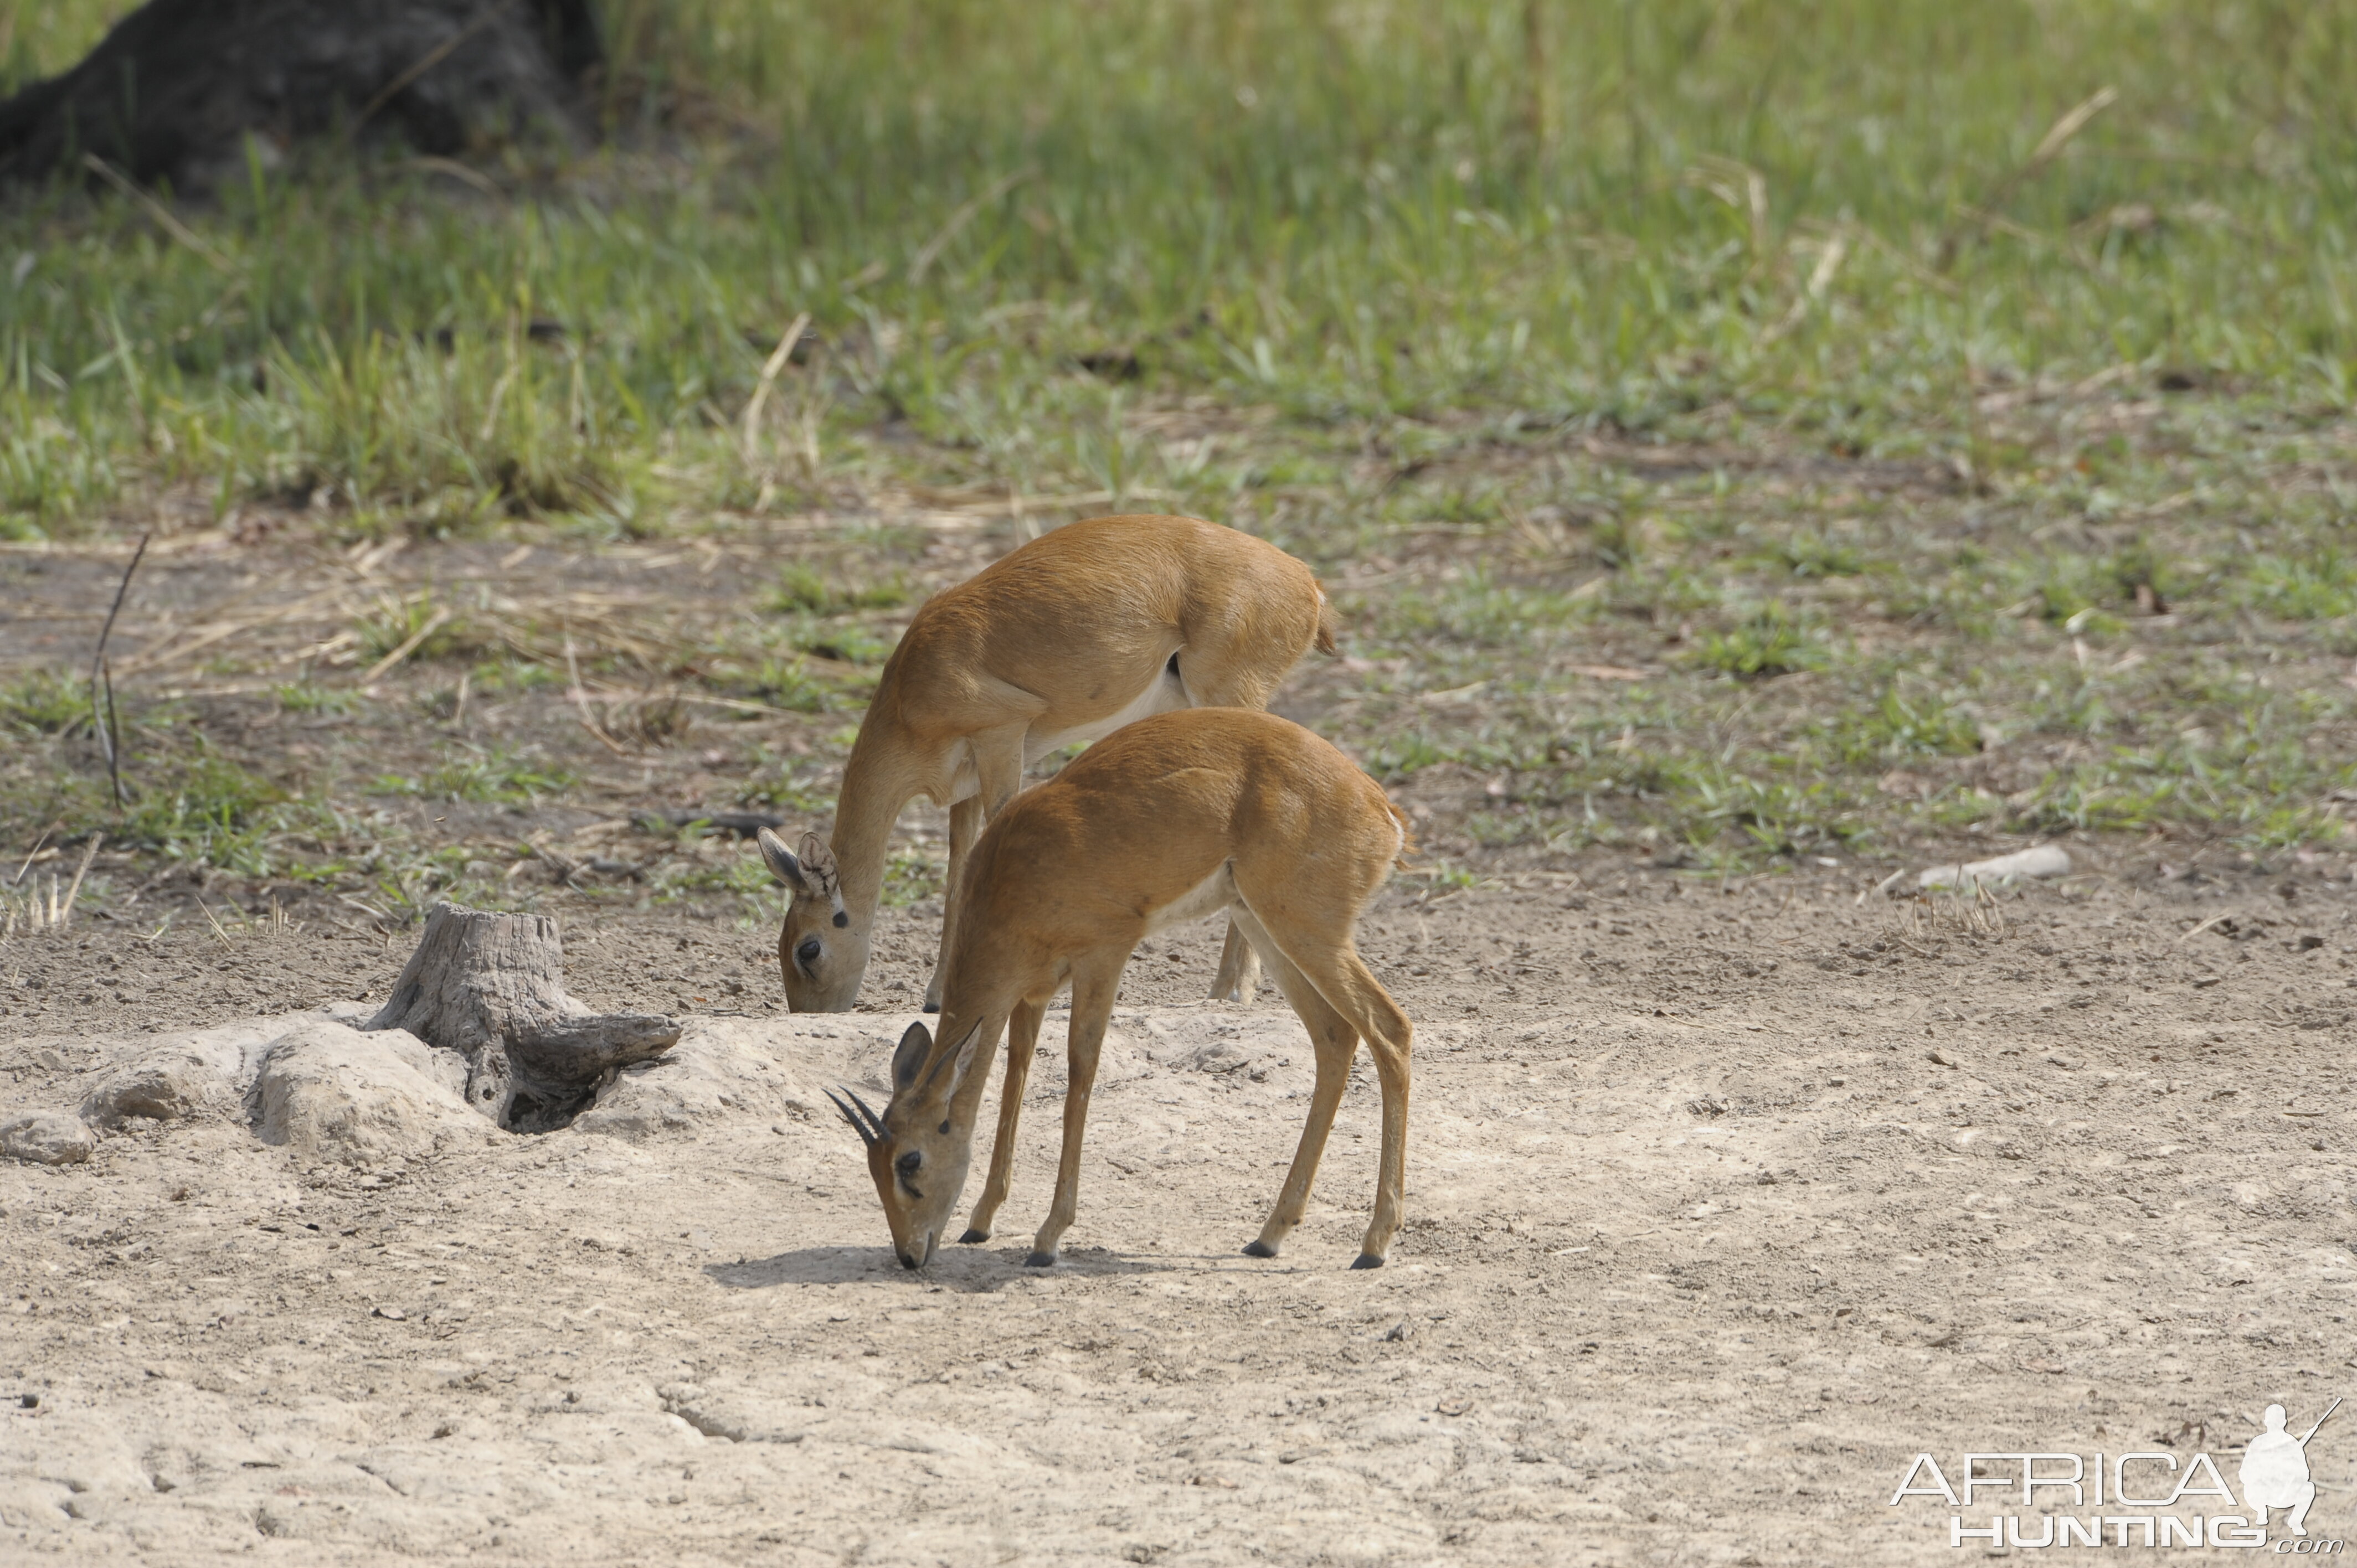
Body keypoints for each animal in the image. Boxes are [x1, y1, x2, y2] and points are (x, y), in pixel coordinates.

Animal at [763, 507, 1339, 1009]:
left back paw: (1231, 992)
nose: (812, 1013)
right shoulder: (964, 784)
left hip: (1228, 696)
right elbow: (955, 874)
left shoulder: (1001, 741)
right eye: (782, 944)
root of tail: (1306, 582)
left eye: (809, 948)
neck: (914, 688)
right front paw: (937, 995)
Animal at [820, 707, 1404, 1273]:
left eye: (910, 1160)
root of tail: (1380, 806)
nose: (909, 1255)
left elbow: (1080, 1073)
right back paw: (1269, 1236)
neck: (1015, 874)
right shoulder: (1031, 992)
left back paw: (1373, 1245)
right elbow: (1016, 1075)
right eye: (874, 1165)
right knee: (1335, 1037)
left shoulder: (1103, 956)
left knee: (1391, 1031)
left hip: (1307, 932)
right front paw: (981, 1221)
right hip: (1264, 925)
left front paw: (1048, 1237)